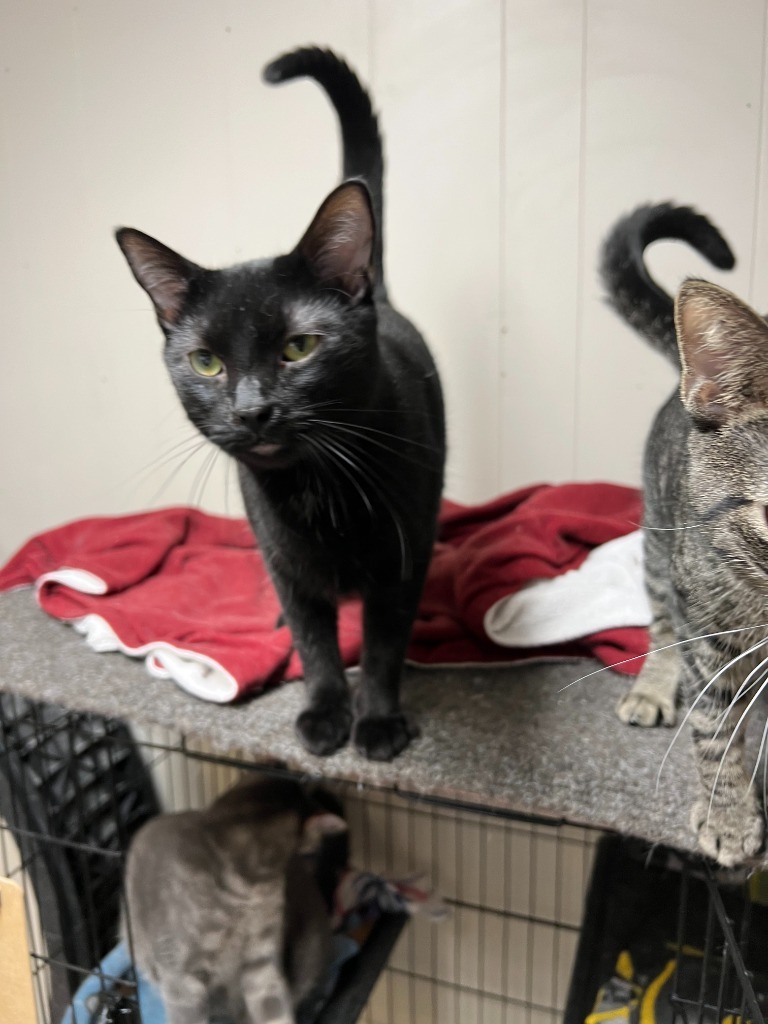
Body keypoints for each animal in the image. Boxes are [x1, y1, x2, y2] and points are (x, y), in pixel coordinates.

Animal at [117, 49, 448, 770]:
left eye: (299, 348)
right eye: (206, 362)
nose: (251, 410)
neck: (317, 489)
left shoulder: (399, 563)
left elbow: (383, 646)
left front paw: (377, 722)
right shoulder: (286, 564)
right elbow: (314, 642)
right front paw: (325, 714)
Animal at [602, 201, 768, 864]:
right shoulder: (712, 631)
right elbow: (717, 731)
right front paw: (730, 815)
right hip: (658, 549)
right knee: (662, 626)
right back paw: (653, 686)